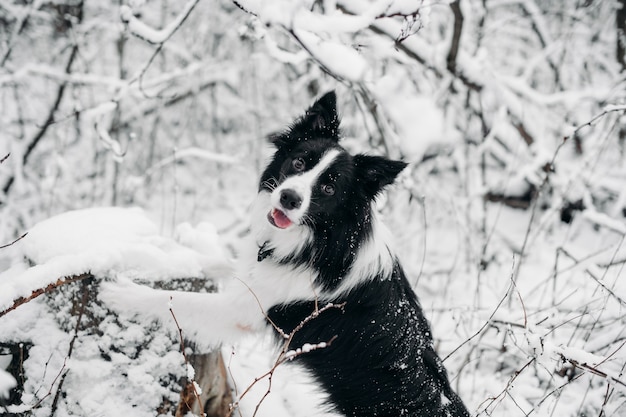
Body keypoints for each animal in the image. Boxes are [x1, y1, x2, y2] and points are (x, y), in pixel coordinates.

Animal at [100, 92, 468, 416]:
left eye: (329, 188)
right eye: (299, 161)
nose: (289, 198)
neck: (319, 240)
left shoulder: (246, 311)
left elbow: (179, 299)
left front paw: (124, 294)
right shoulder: (257, 270)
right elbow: (219, 262)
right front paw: (153, 255)